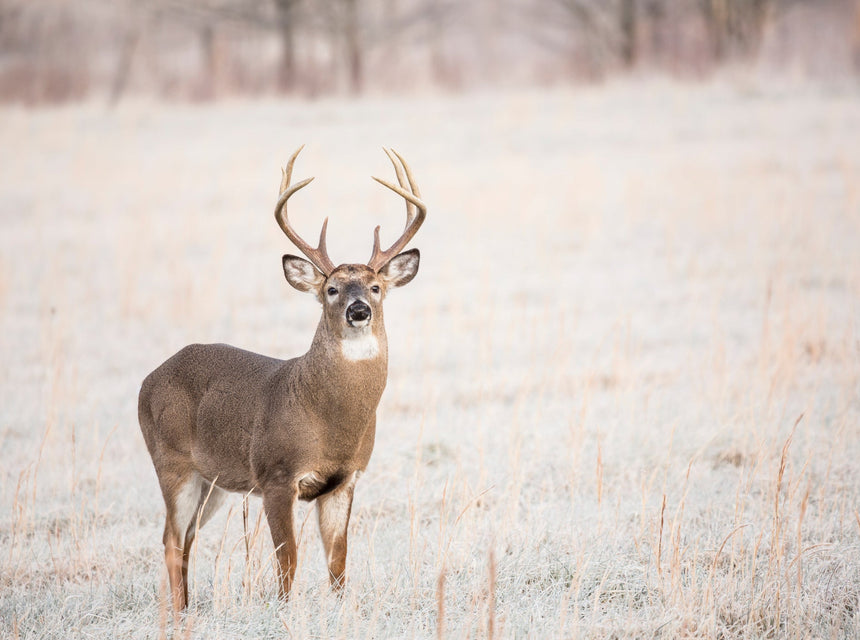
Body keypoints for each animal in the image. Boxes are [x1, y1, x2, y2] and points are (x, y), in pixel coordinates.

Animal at [138, 146, 426, 612]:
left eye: (376, 286)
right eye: (331, 289)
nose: (358, 310)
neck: (329, 421)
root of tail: (148, 379)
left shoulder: (346, 479)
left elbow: (338, 563)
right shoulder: (275, 473)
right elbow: (287, 560)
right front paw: (286, 612)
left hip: (213, 479)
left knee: (186, 538)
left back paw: (187, 607)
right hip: (171, 461)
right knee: (170, 538)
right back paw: (179, 613)